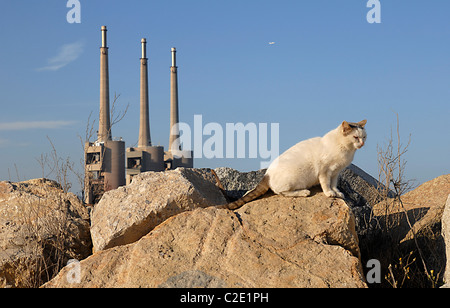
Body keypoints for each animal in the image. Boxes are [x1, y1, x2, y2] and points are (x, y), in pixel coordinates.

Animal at [227, 119, 368, 209]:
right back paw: (304, 192)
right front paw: (329, 193)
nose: (362, 143)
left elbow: (334, 184)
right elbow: (326, 184)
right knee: (281, 192)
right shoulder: (324, 171)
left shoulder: (336, 172)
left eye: (364, 137)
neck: (346, 150)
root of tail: (267, 174)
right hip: (294, 179)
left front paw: (337, 192)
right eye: (356, 137)